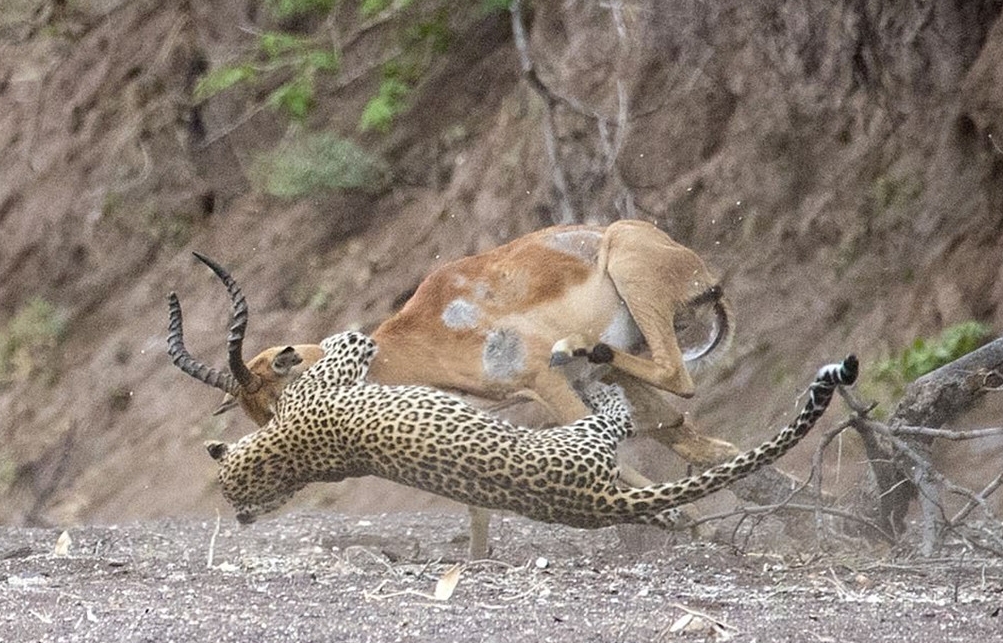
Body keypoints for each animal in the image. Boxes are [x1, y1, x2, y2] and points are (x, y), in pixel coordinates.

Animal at [205, 329, 862, 529]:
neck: (287, 455)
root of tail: (594, 502)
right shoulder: (343, 362)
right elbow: (348, 337)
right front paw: (288, 354)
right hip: (584, 437)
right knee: (614, 416)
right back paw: (589, 369)